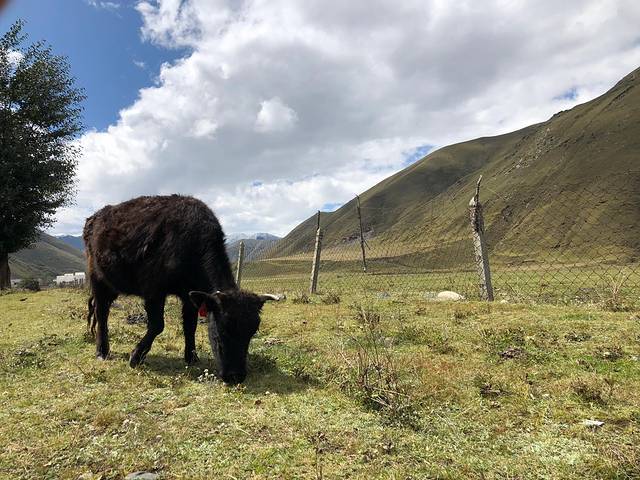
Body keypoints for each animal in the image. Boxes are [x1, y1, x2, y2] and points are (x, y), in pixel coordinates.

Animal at [83, 194, 279, 384]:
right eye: (221, 331)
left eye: (251, 333)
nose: (236, 376)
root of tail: (95, 217)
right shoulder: (154, 291)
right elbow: (157, 325)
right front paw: (136, 356)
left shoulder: (190, 296)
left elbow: (190, 326)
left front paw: (191, 357)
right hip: (98, 279)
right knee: (102, 313)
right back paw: (102, 351)